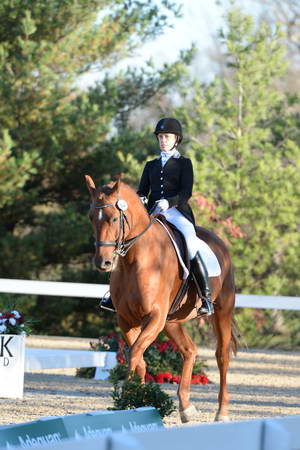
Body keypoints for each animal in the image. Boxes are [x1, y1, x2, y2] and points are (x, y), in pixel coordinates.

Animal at [85, 175, 238, 422]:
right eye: (91, 217)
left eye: (114, 218)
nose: (103, 262)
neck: (135, 258)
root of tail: (219, 242)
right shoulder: (127, 320)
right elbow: (138, 357)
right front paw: (138, 398)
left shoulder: (154, 316)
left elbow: (135, 353)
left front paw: (127, 398)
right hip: (171, 321)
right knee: (189, 350)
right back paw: (186, 407)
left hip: (222, 309)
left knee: (222, 356)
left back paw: (221, 412)